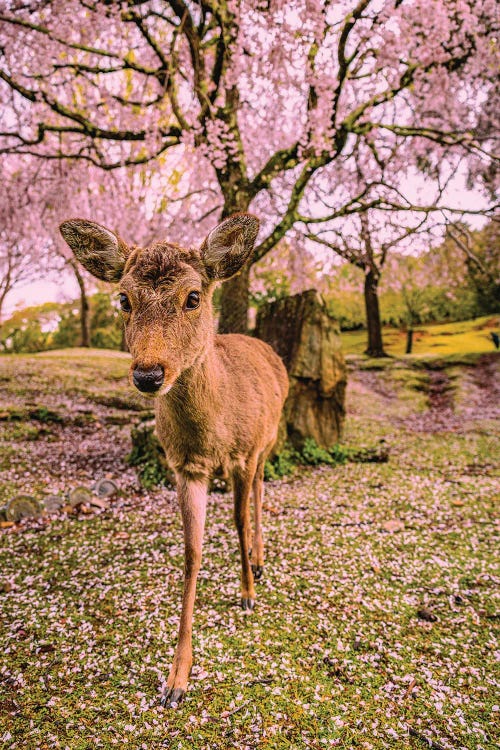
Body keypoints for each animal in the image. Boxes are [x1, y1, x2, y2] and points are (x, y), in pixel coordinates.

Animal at [59, 213, 290, 712]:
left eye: (193, 296)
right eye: (124, 298)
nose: (149, 374)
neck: (214, 433)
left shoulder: (244, 452)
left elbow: (238, 521)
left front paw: (247, 594)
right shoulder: (185, 467)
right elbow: (191, 553)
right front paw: (176, 679)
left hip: (270, 436)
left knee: (261, 490)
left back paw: (260, 561)